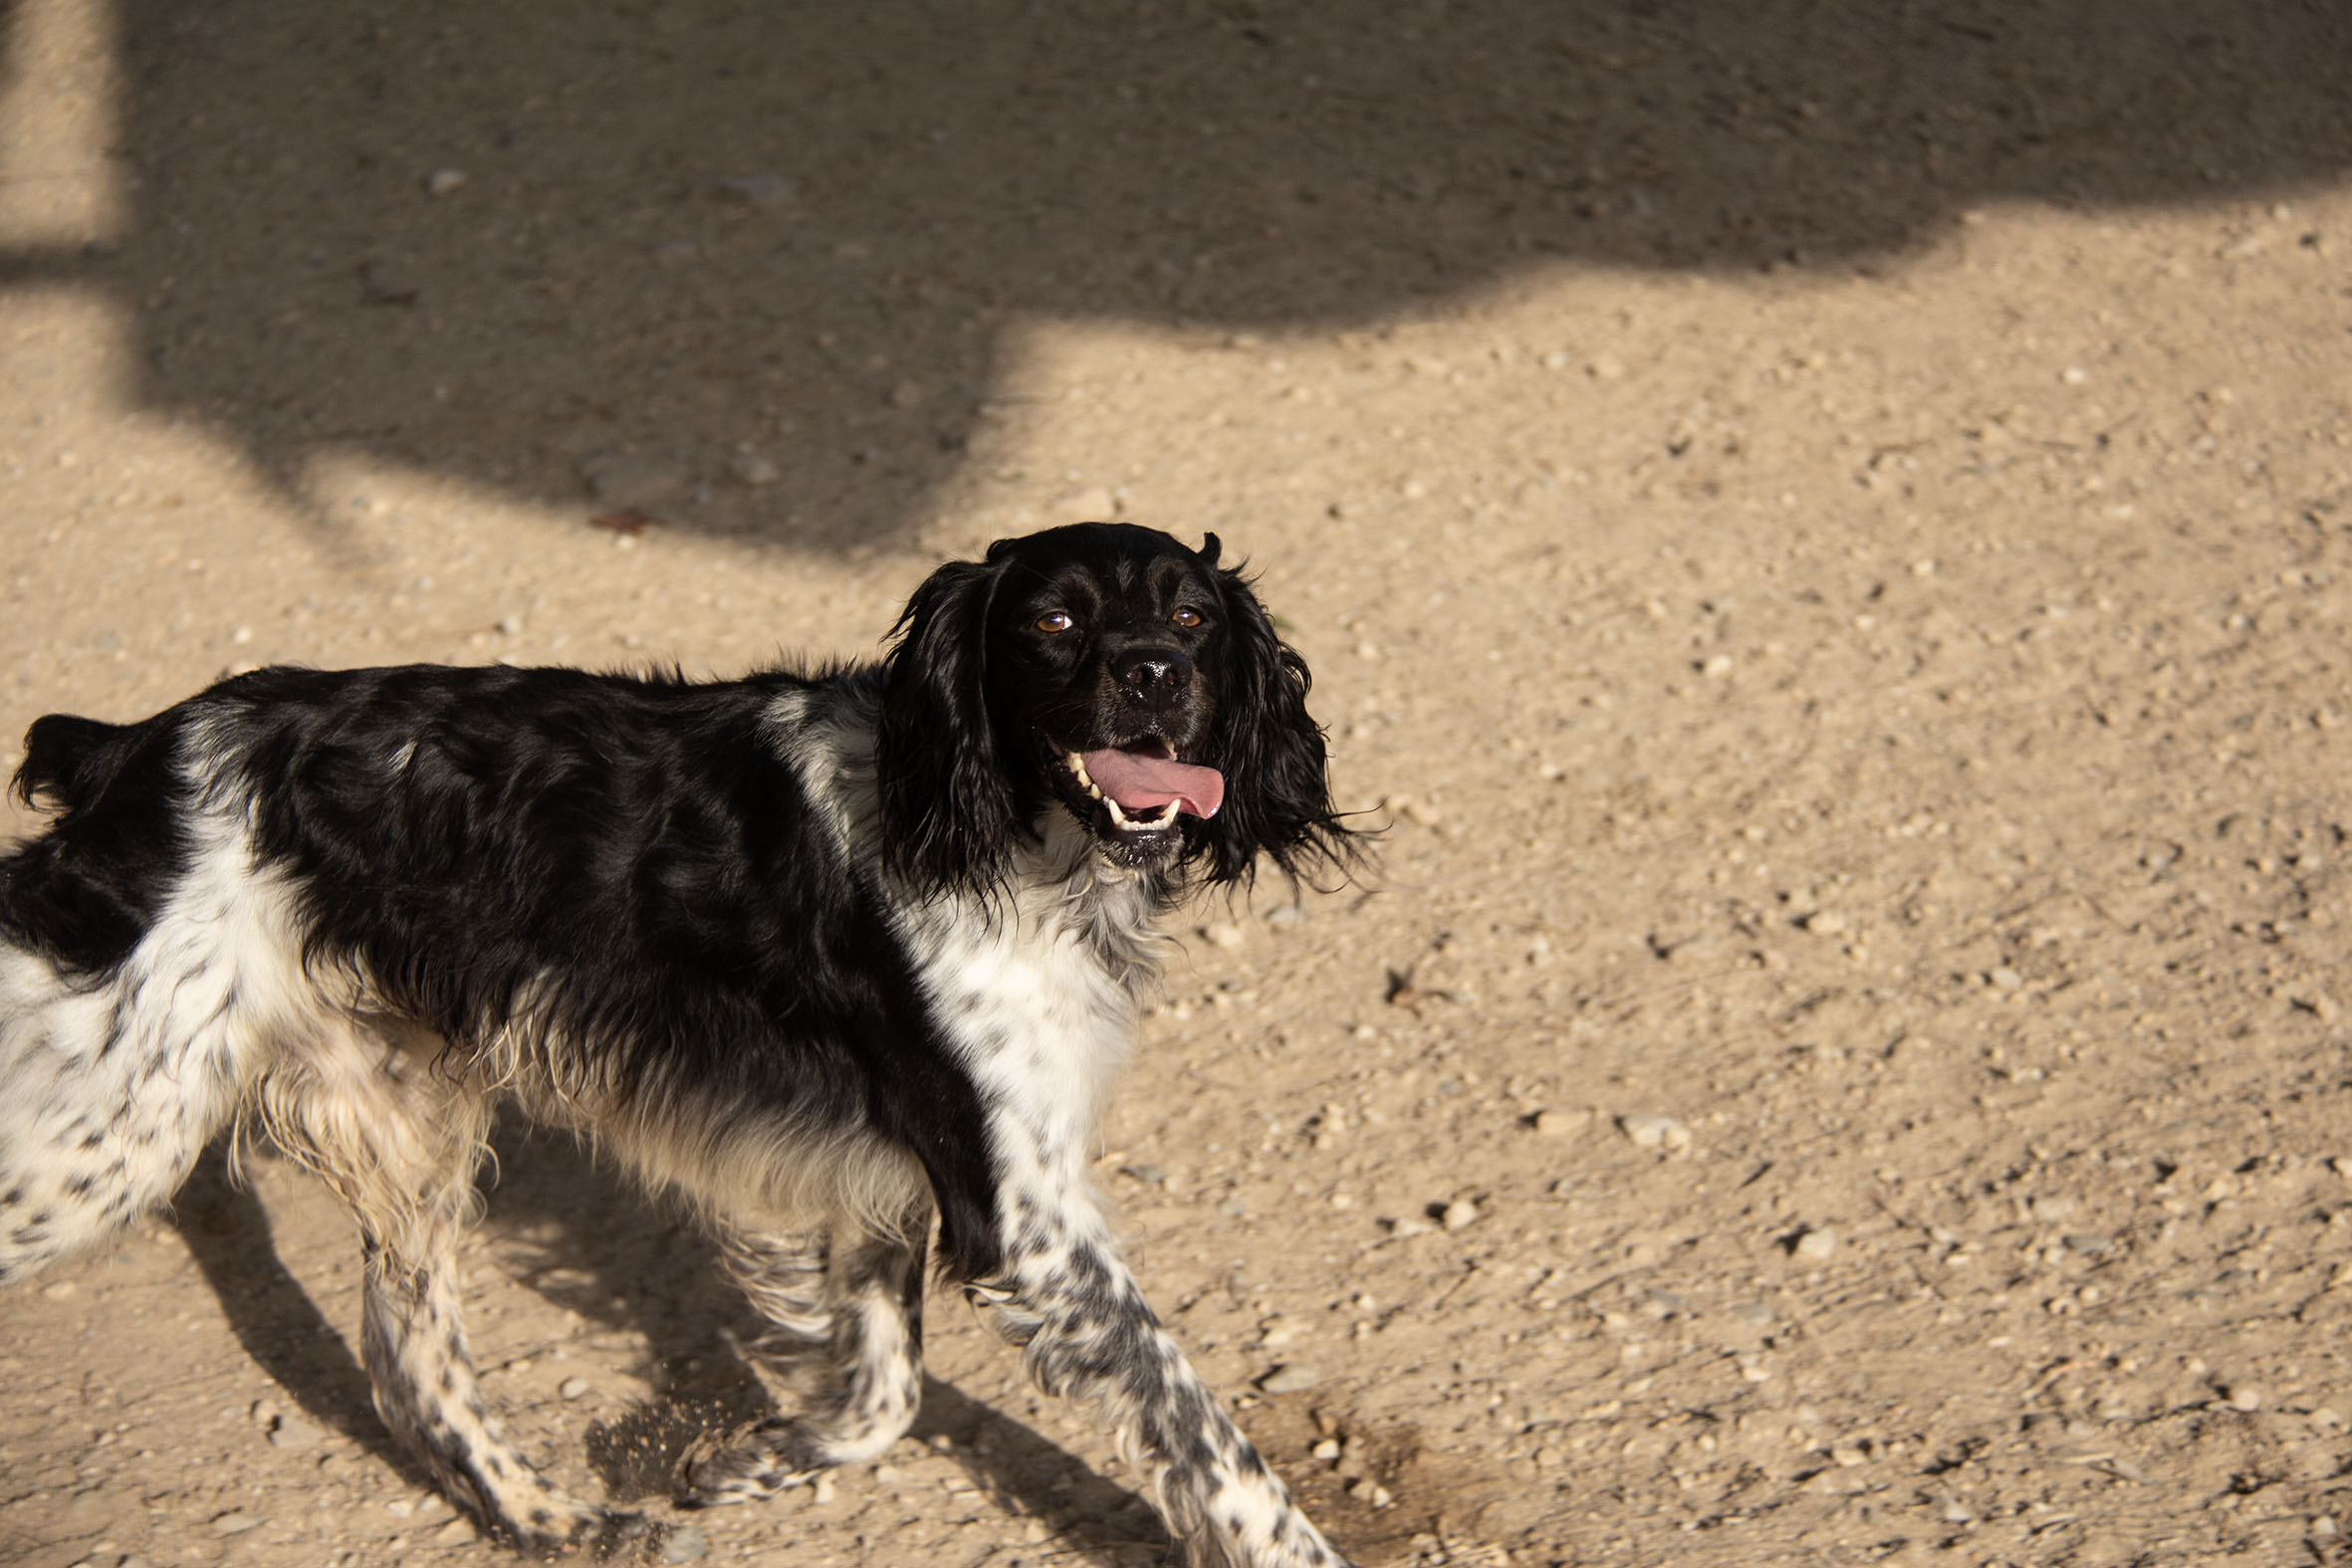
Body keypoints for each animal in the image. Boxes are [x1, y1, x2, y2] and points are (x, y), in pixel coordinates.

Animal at [0, 523, 1359, 1567]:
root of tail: (138, 747)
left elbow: (886, 1390)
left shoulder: (890, 1179)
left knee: (410, 1368)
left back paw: (558, 1519)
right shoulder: (1020, 1213)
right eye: (1056, 621)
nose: (1154, 676)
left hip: (400, 1132)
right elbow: (1204, 1433)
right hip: (110, 1129)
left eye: (1190, 615)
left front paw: (757, 1456)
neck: (993, 829)